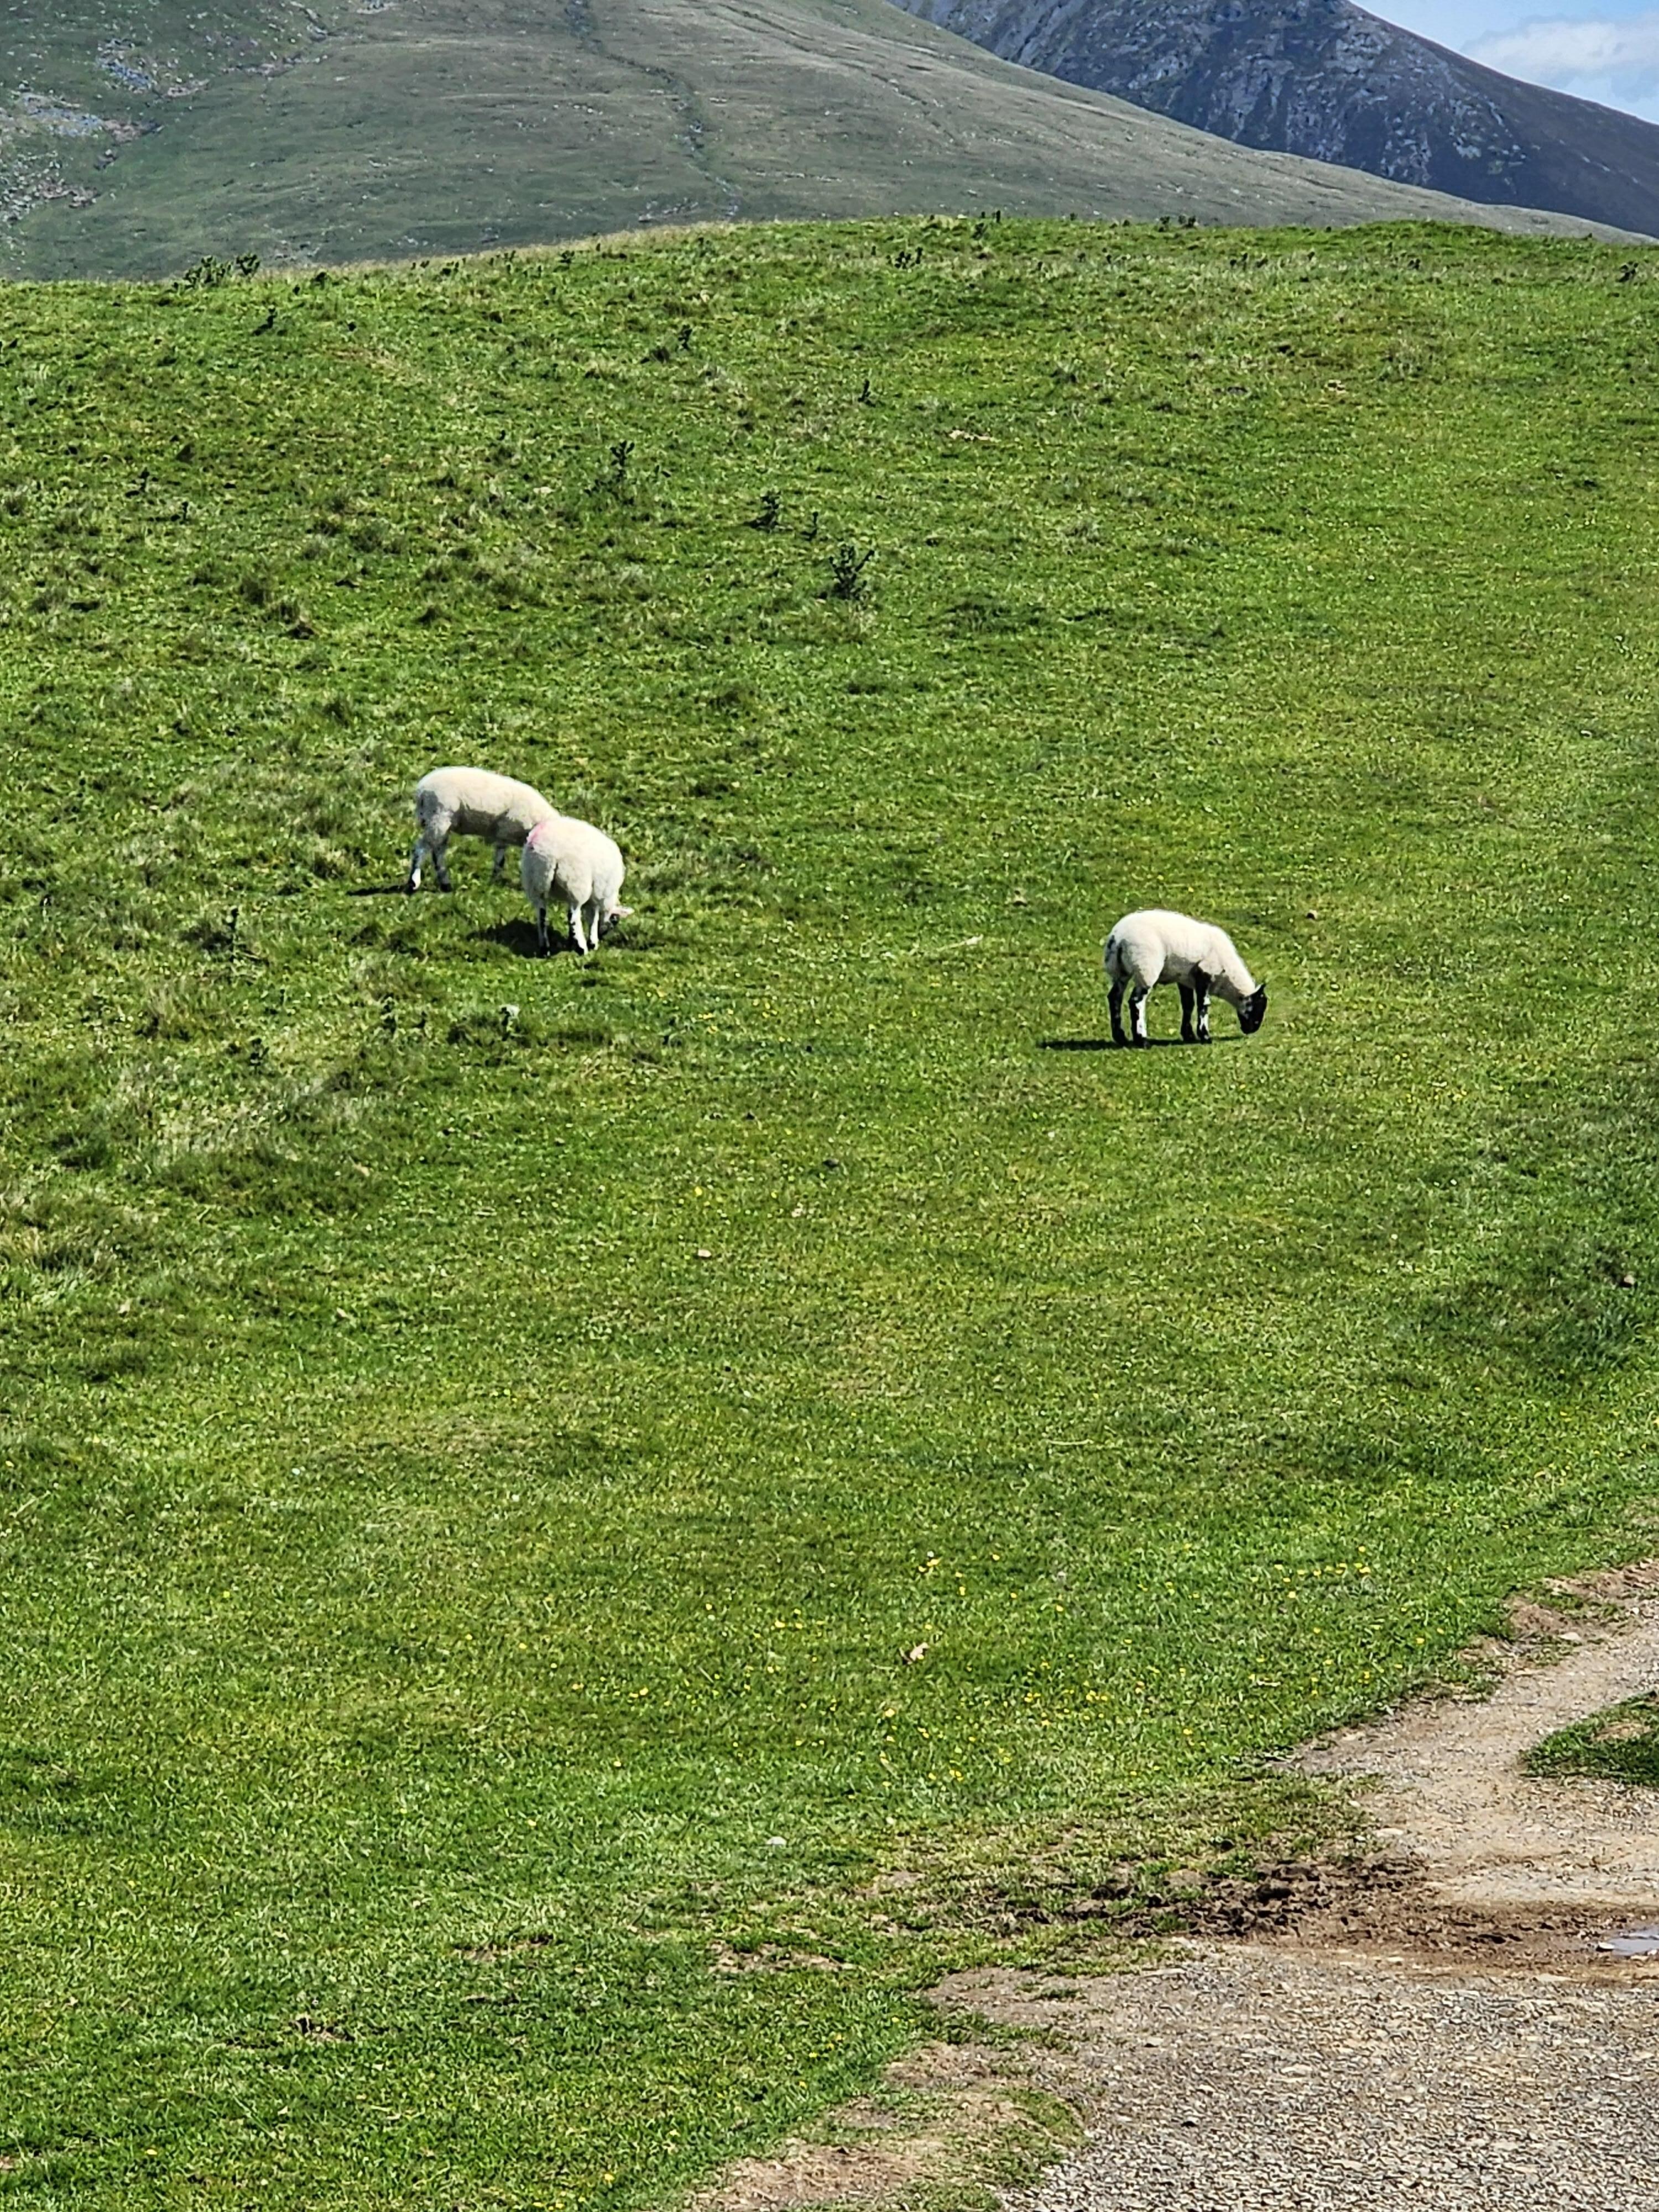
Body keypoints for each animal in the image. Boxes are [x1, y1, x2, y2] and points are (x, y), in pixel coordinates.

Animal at [405, 766, 557, 893]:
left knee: (437, 851)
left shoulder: (503, 835)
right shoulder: (506, 830)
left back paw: (445, 884)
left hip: (441, 822)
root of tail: (422, 790)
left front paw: (494, 881)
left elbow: (500, 860)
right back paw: (414, 882)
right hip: (439, 816)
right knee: (421, 848)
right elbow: (500, 861)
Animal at [521, 814, 632, 955]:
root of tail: (549, 854)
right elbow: (593, 918)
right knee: (573, 916)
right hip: (576, 883)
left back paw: (545, 949)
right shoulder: (598, 894)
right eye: (615, 920)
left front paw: (572, 941)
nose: (603, 936)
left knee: (541, 915)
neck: (610, 899)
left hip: (534, 882)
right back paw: (582, 948)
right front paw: (593, 943)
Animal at [1103, 909, 1267, 1048]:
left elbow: (1188, 1005)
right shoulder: (1206, 973)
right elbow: (1203, 1005)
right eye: (1259, 1005)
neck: (1227, 975)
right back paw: (1142, 1040)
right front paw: (1205, 1036)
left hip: (1120, 971)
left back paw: (1121, 1038)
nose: (1252, 1030)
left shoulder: (1185, 979)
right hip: (1146, 968)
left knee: (1115, 998)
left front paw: (1189, 1035)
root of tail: (1118, 939)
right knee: (1136, 1002)